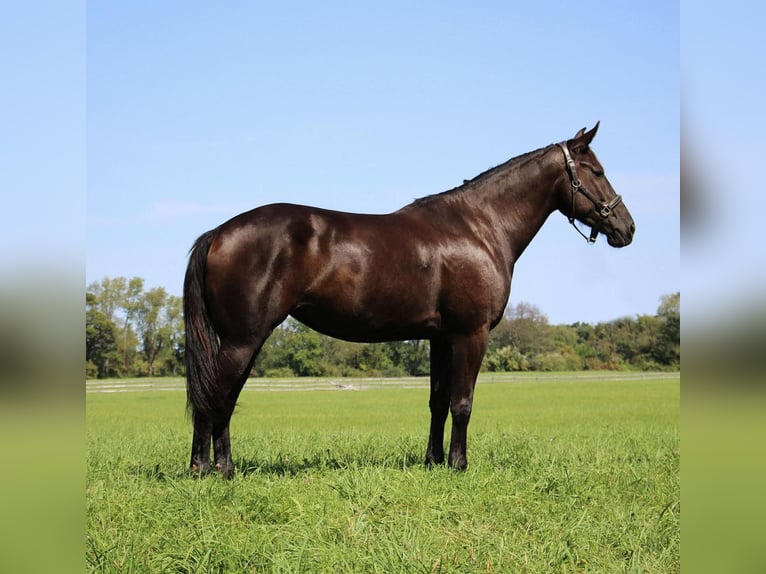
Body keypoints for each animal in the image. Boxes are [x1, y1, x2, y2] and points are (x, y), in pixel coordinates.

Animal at [184, 125, 636, 476]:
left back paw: (225, 467)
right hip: (243, 340)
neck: (479, 226)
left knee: (225, 398)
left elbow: (438, 401)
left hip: (245, 340)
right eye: (597, 171)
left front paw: (432, 461)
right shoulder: (470, 334)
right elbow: (462, 402)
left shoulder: (440, 337)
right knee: (214, 397)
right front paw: (458, 465)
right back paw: (205, 469)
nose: (627, 227)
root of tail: (219, 232)